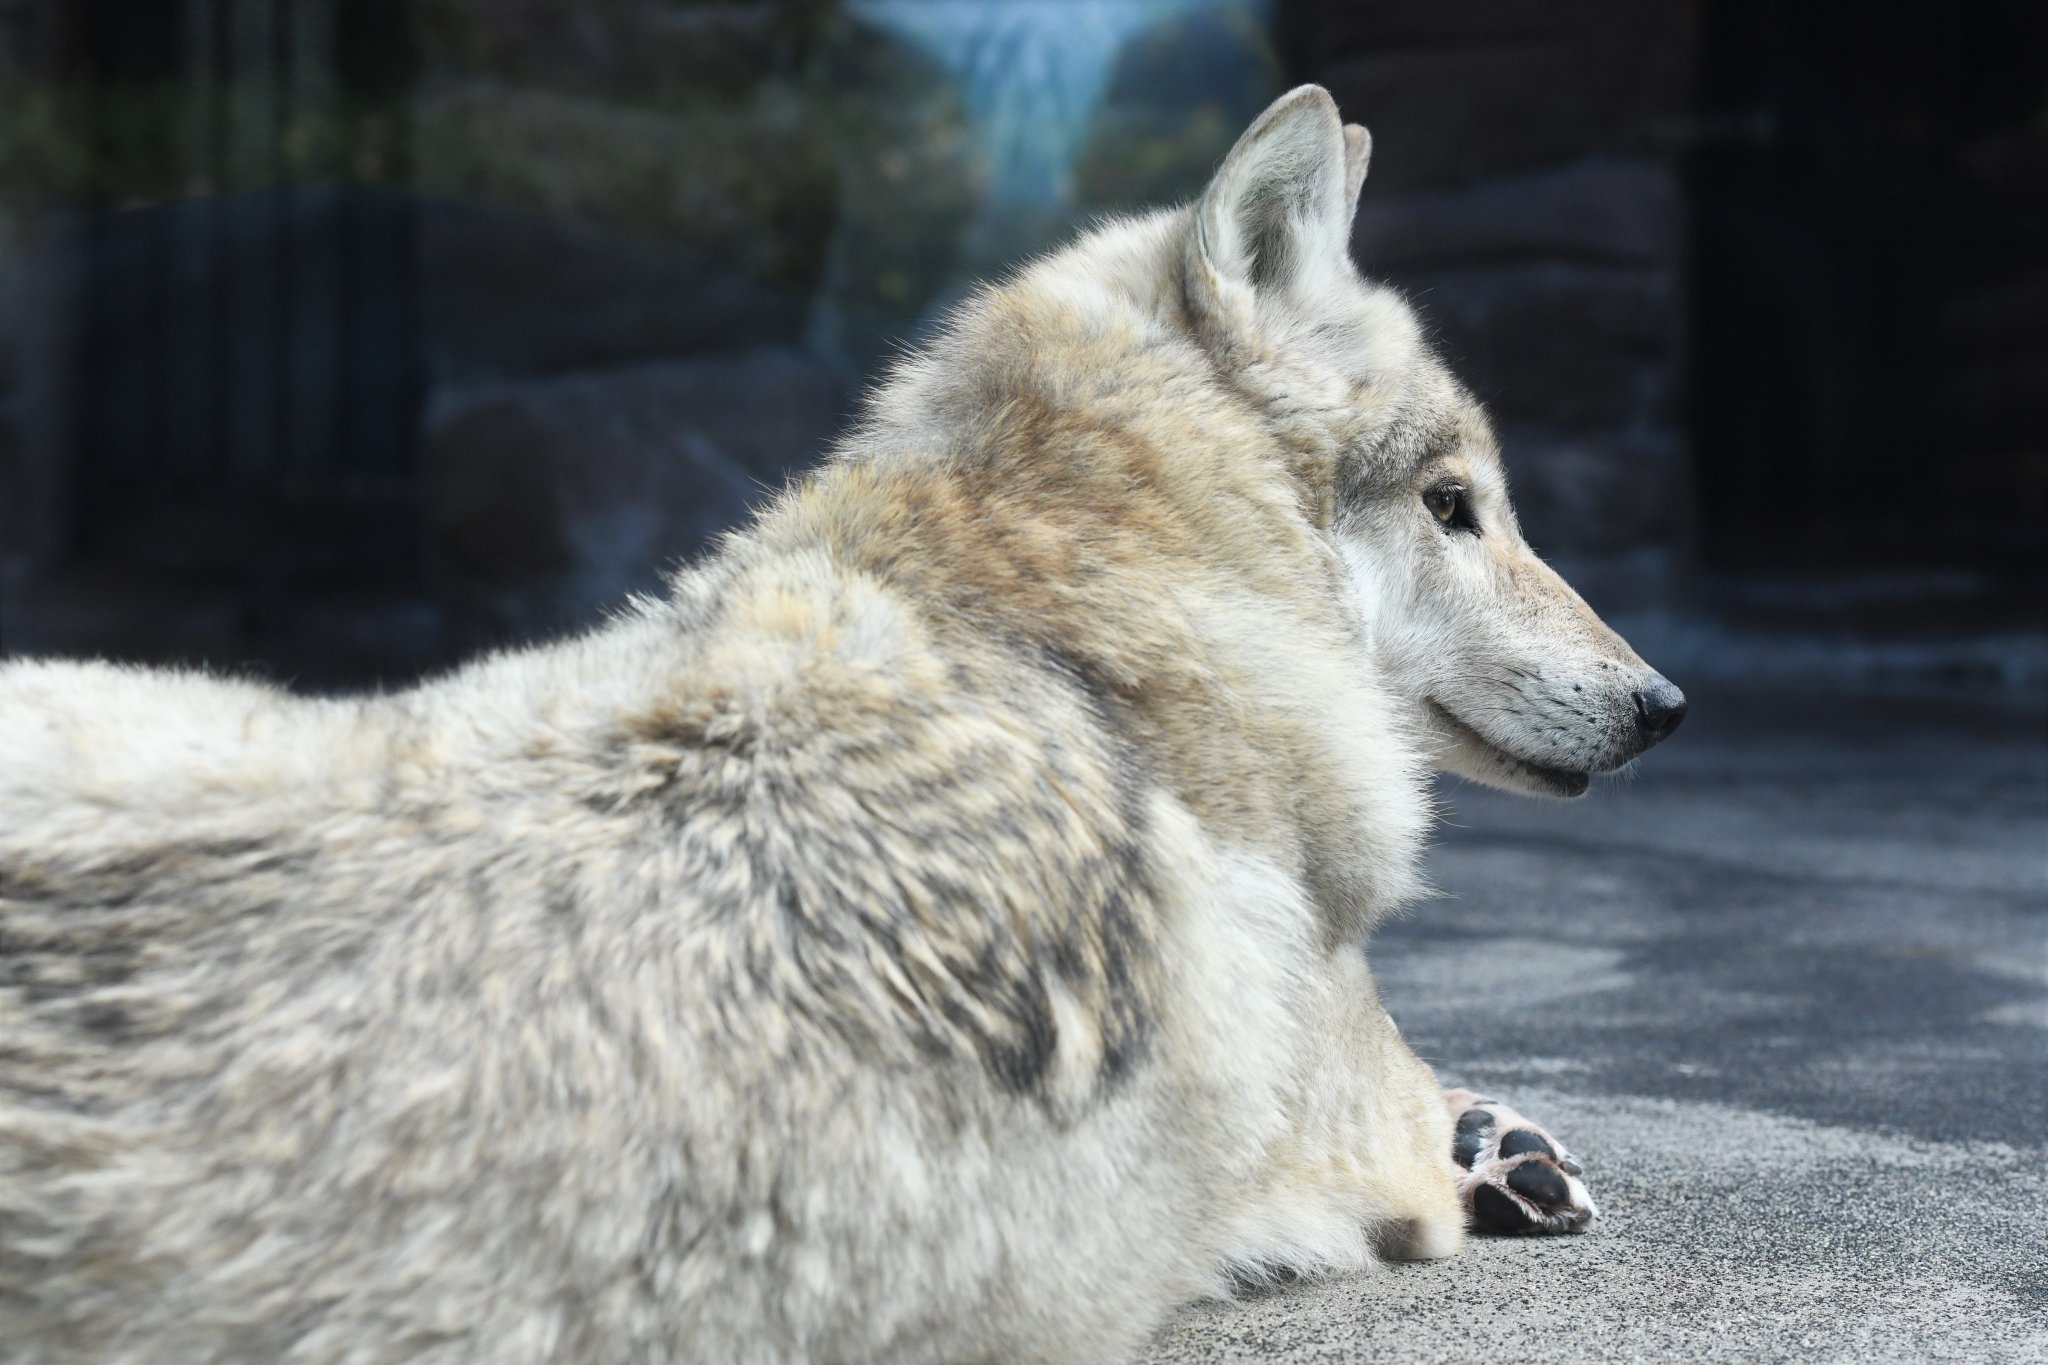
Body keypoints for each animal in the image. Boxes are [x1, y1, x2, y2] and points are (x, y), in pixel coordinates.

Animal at [0, 87, 1679, 1365]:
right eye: (1457, 507)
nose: (1665, 705)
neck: (1051, 613)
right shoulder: (1339, 1111)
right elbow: (1411, 1092)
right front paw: (1495, 1147)